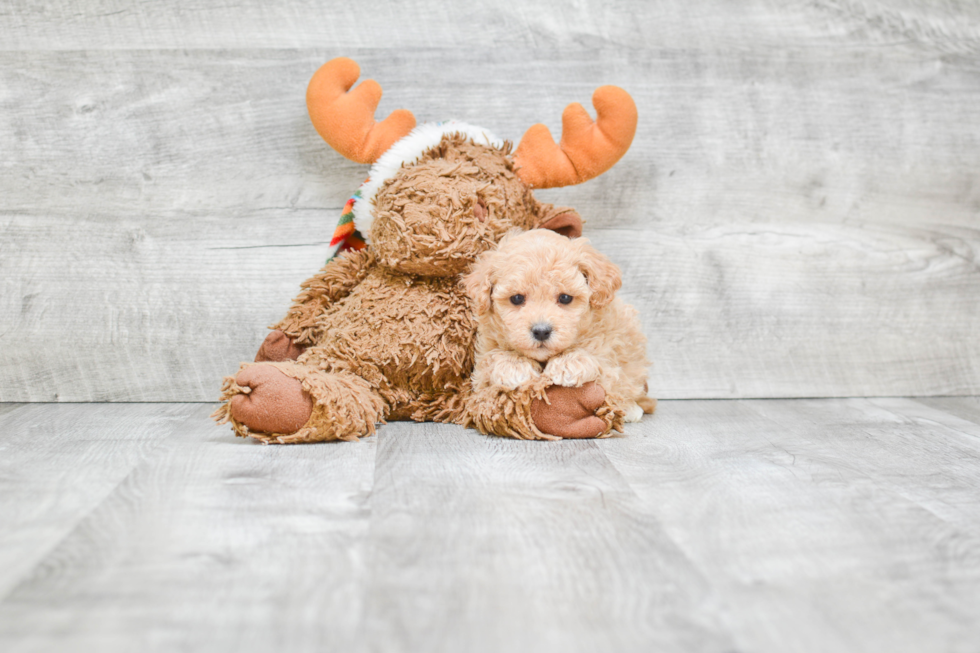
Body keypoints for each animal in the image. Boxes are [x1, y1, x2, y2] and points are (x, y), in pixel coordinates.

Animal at [464, 227, 656, 430]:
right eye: (516, 298)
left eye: (565, 298)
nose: (541, 331)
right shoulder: (481, 369)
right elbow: (490, 360)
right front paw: (514, 365)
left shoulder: (609, 345)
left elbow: (601, 361)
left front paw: (569, 363)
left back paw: (630, 408)